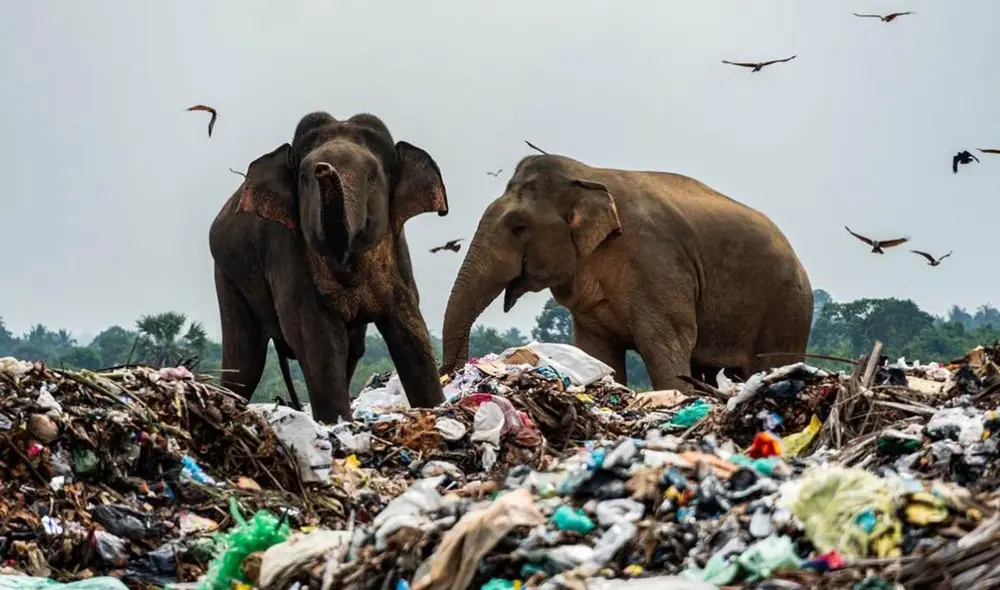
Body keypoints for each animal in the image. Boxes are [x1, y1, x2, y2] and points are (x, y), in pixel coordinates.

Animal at [209, 111, 448, 422]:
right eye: (304, 177)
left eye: (372, 176)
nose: (323, 169)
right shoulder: (288, 251)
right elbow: (318, 336)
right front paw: (337, 423)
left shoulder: (396, 253)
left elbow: (408, 325)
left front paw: (438, 408)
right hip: (228, 274)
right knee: (244, 361)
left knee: (353, 350)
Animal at [440, 150, 813, 391]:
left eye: (518, 228)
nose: (454, 378)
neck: (588, 175)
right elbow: (598, 354)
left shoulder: (656, 263)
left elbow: (667, 346)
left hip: (787, 310)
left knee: (766, 365)